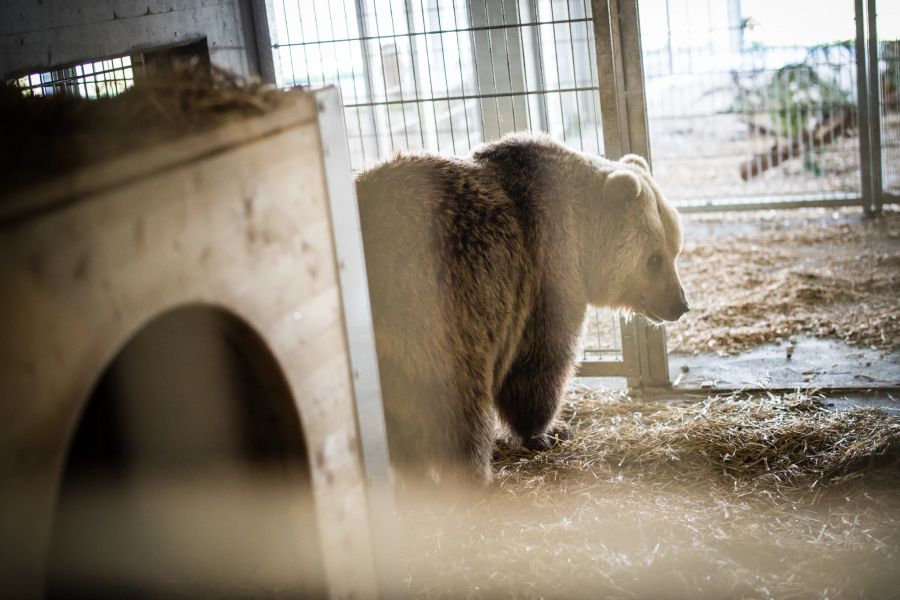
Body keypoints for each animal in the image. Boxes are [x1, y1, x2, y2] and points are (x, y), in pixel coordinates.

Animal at [354, 134, 688, 486]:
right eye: (654, 258)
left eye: (676, 249)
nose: (680, 304)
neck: (582, 235)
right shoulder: (541, 276)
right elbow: (540, 363)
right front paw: (548, 431)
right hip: (431, 311)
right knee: (460, 403)